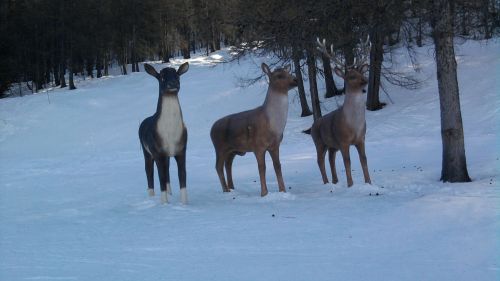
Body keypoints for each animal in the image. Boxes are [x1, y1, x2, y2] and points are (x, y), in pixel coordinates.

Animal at [139, 61, 189, 203]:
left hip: (166, 156)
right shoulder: (157, 152)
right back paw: (151, 197)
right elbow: (160, 178)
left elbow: (182, 176)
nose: (173, 83)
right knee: (149, 172)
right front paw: (164, 204)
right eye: (161, 77)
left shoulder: (181, 150)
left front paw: (184, 203)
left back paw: (170, 193)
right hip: (146, 152)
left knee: (167, 172)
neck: (170, 133)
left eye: (177, 76)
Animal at [210, 62, 296, 196]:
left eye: (289, 73)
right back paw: (226, 190)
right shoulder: (258, 146)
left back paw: (232, 187)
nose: (296, 80)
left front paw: (283, 190)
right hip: (219, 147)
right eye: (279, 75)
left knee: (228, 164)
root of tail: (211, 130)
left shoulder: (275, 145)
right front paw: (264, 193)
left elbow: (277, 166)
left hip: (232, 149)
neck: (275, 125)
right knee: (218, 166)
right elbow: (262, 168)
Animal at [312, 37, 372, 186]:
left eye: (362, 72)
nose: (365, 80)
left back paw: (335, 181)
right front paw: (350, 184)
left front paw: (369, 182)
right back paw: (326, 182)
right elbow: (347, 162)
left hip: (332, 145)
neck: (354, 125)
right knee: (320, 161)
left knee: (330, 159)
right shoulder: (343, 140)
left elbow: (364, 159)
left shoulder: (361, 138)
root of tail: (312, 126)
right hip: (319, 141)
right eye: (351, 76)